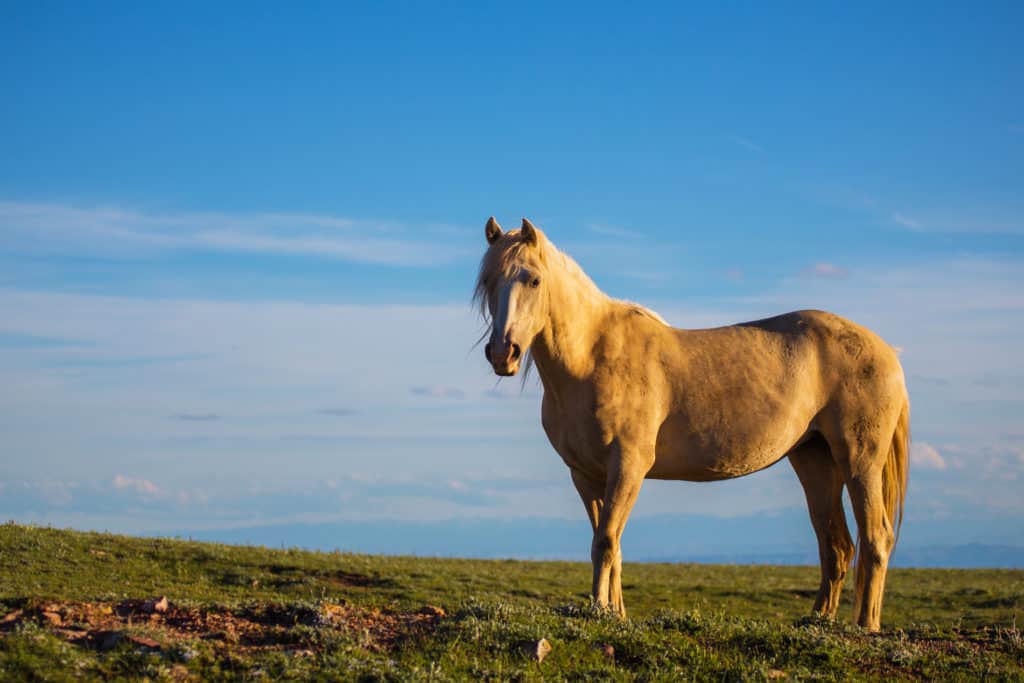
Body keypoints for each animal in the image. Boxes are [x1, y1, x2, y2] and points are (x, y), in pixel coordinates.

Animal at [474, 217, 909, 632]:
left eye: (533, 279)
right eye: (489, 281)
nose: (503, 353)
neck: (592, 357)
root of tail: (886, 351)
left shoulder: (628, 467)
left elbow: (606, 542)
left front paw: (600, 612)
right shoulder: (585, 474)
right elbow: (609, 543)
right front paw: (615, 614)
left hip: (859, 461)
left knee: (876, 537)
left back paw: (866, 626)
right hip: (814, 459)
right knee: (836, 545)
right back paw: (818, 622)